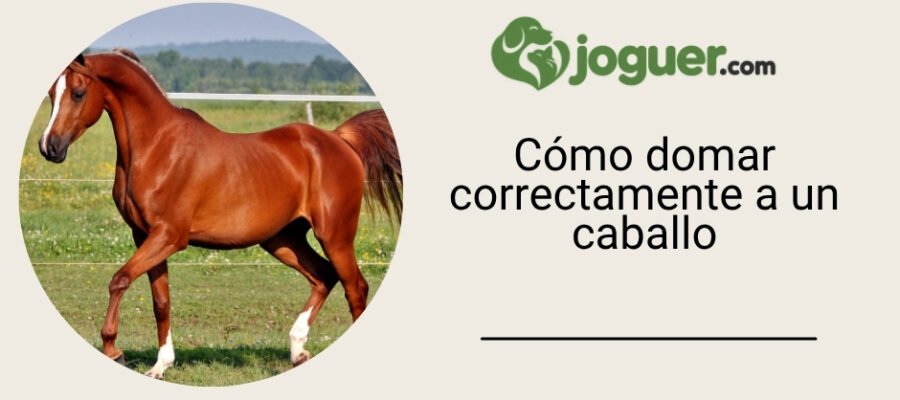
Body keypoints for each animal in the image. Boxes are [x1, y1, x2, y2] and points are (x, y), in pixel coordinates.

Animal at [37, 49, 402, 379]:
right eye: (52, 93)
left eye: (78, 93)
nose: (49, 147)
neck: (157, 147)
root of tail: (339, 140)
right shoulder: (145, 236)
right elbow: (161, 301)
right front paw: (160, 366)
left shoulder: (169, 236)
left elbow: (119, 280)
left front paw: (114, 350)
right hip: (283, 240)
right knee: (323, 276)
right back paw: (298, 351)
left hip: (335, 235)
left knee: (355, 287)